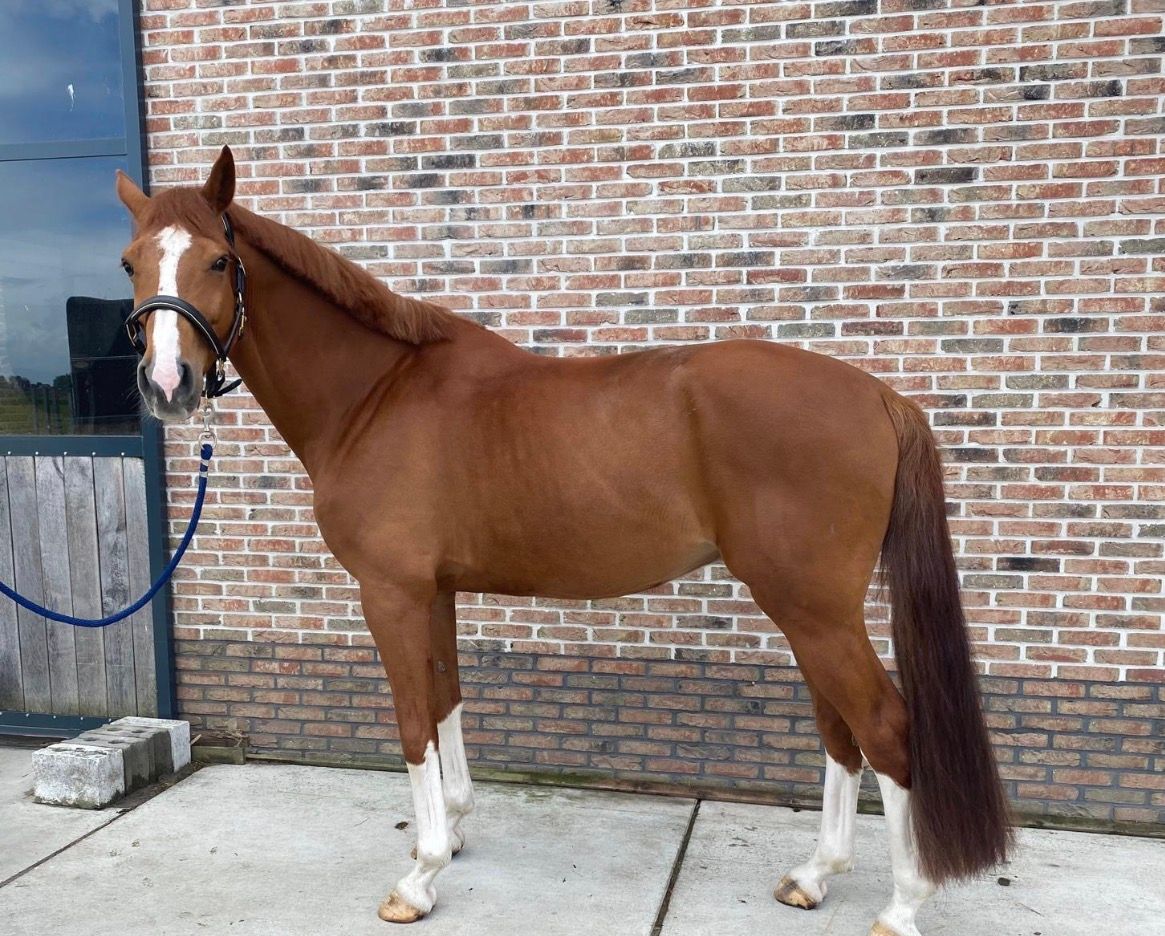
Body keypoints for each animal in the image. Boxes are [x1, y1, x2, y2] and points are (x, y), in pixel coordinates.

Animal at [115, 146, 1011, 936]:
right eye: (130, 264)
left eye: (218, 262)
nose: (167, 386)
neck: (376, 396)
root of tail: (881, 396)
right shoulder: (435, 591)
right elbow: (445, 700)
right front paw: (455, 832)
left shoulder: (391, 593)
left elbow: (411, 721)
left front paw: (419, 878)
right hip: (810, 611)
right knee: (839, 730)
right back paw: (814, 876)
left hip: (813, 609)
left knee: (884, 728)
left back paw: (901, 907)